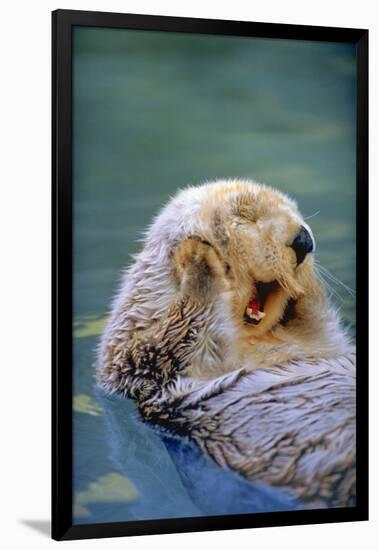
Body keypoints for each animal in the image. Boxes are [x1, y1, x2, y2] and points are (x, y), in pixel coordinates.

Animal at [96, 181, 356, 508]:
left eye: (296, 213)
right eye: (245, 216)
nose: (304, 240)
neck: (256, 339)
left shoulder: (321, 342)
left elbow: (321, 326)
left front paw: (306, 287)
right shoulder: (146, 361)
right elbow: (180, 336)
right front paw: (197, 256)